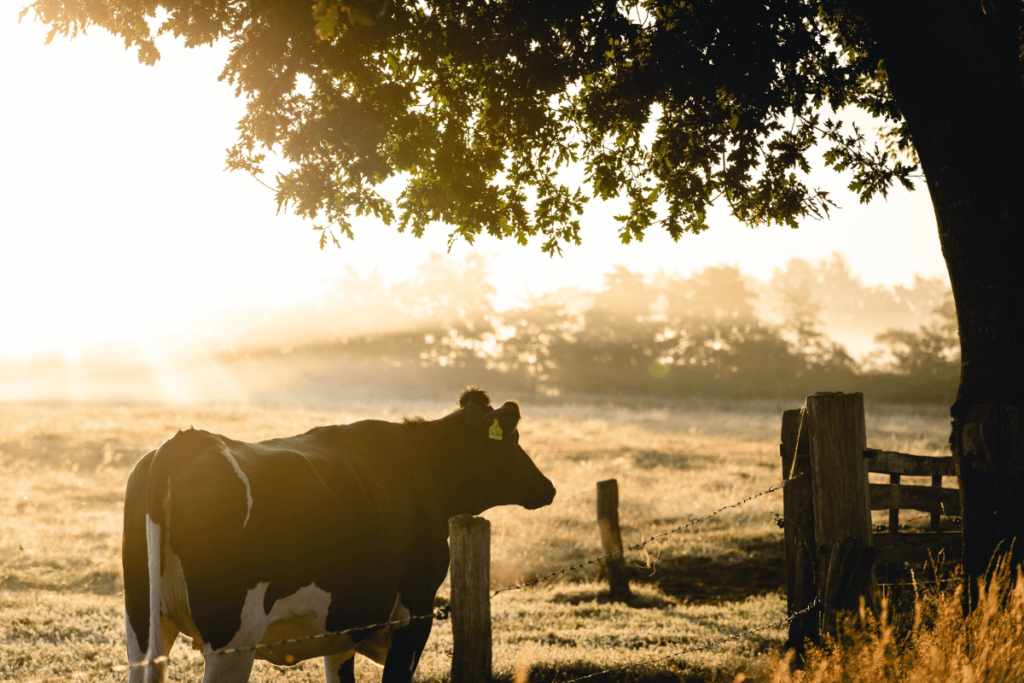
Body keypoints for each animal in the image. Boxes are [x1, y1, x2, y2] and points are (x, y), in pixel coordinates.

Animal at [122, 389, 557, 683]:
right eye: (513, 440)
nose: (548, 487)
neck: (423, 469)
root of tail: (186, 441)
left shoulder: (344, 626)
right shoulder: (414, 616)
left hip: (143, 627)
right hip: (231, 640)